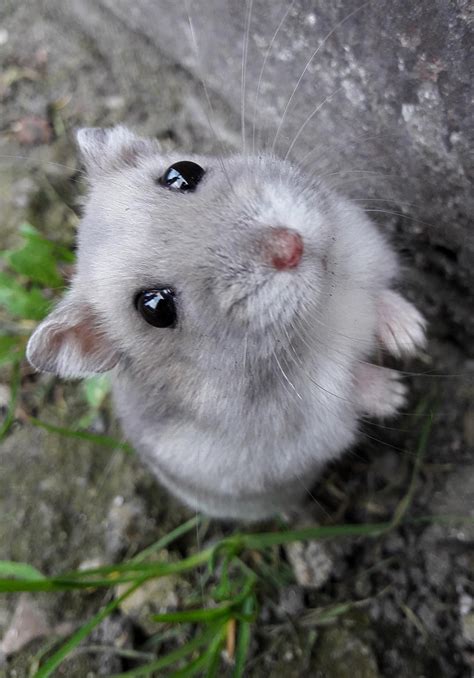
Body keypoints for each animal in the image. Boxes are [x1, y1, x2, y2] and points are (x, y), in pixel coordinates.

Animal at [26, 126, 426, 520]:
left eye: (182, 173)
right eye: (155, 308)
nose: (290, 247)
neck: (322, 303)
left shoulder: (362, 248)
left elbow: (377, 296)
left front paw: (414, 334)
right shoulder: (314, 413)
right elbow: (350, 386)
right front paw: (397, 393)